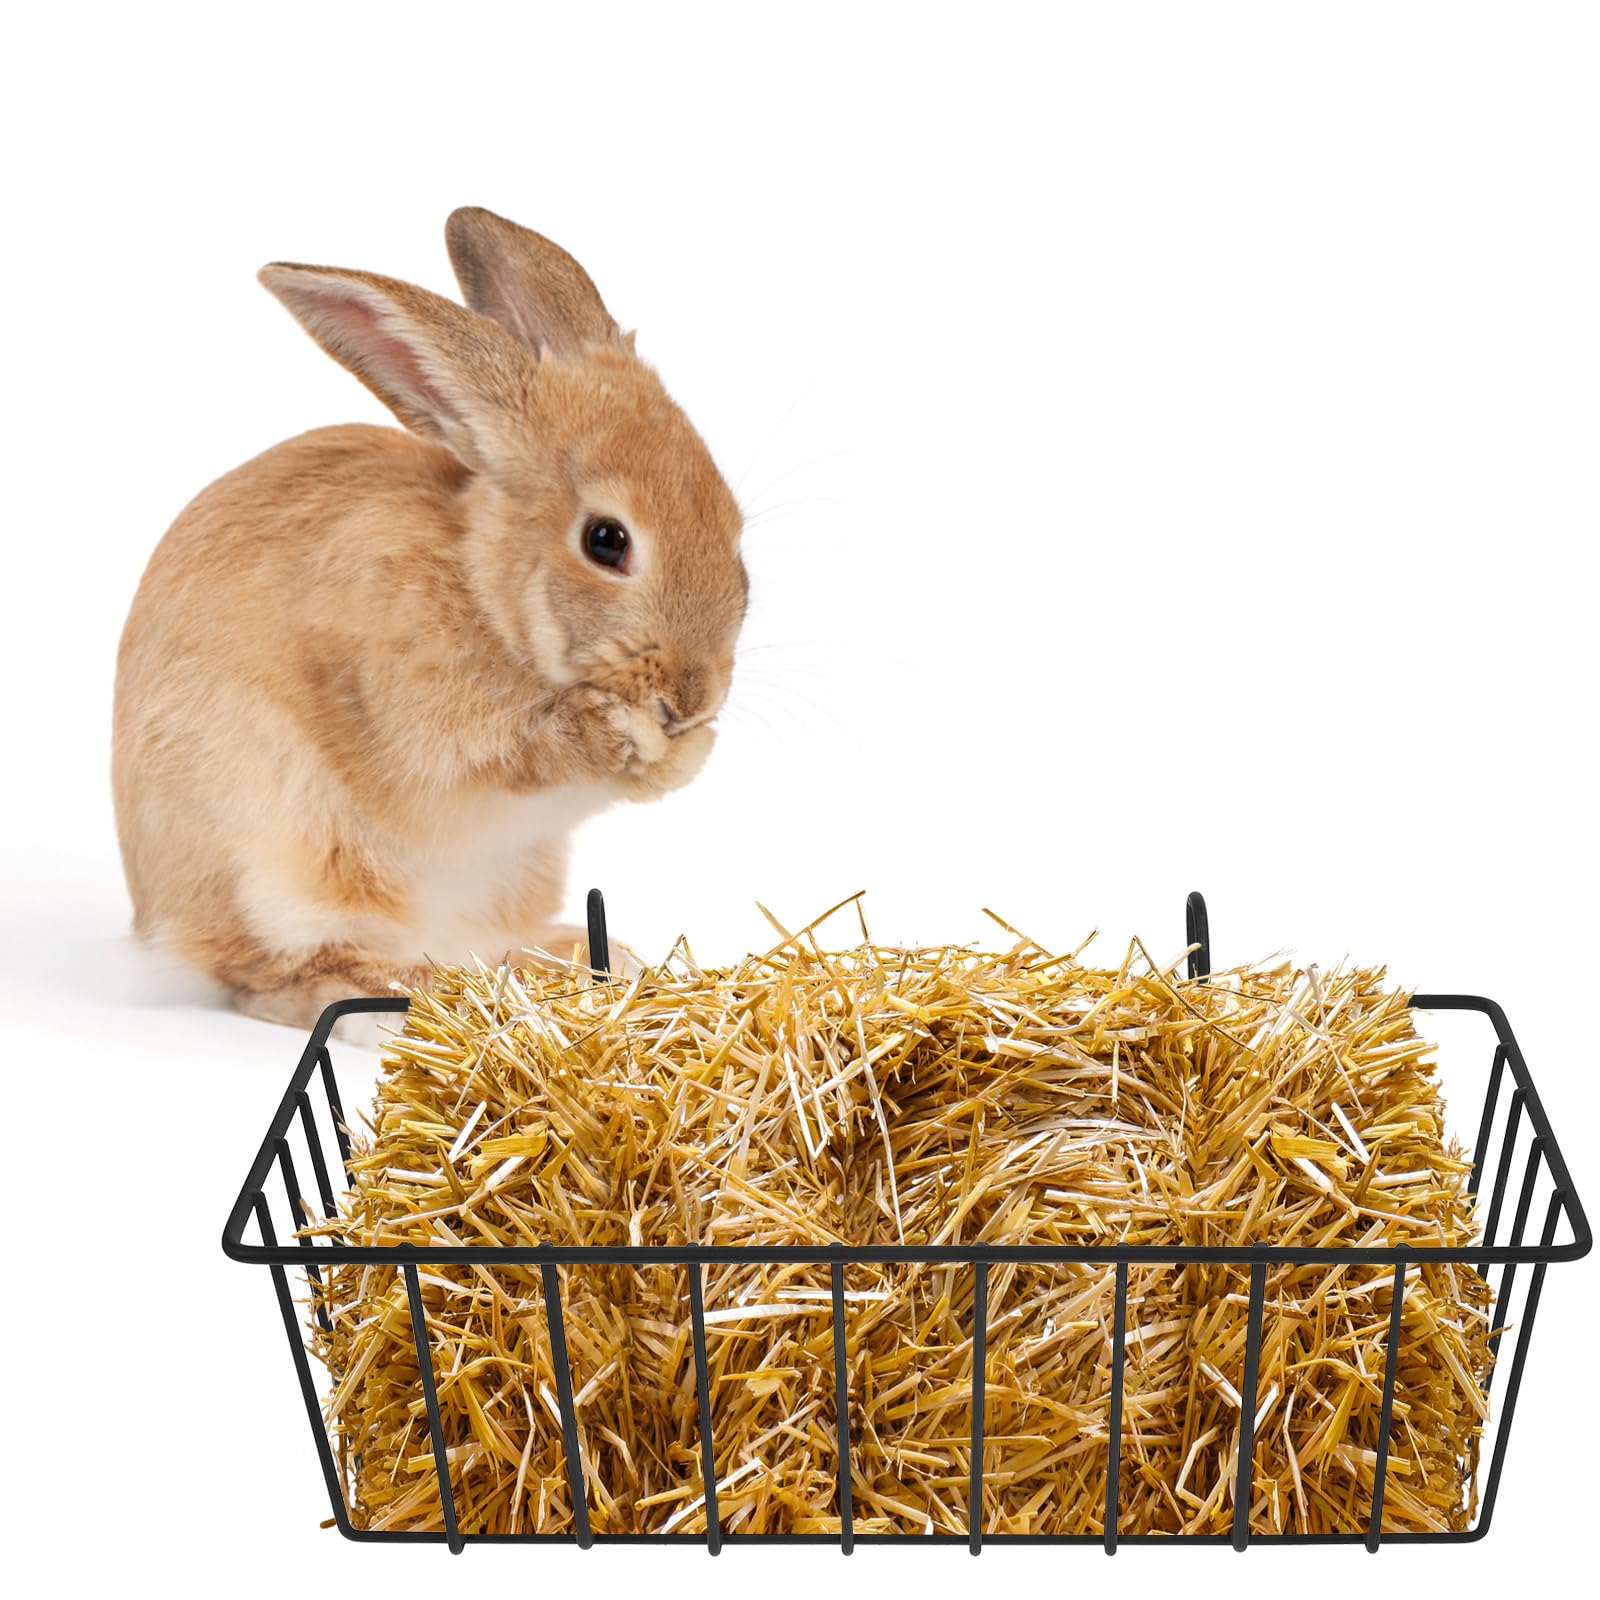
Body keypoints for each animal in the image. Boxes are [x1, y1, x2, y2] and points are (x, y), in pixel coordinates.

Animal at [112, 207, 747, 1034]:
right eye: (606, 541)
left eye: (732, 523)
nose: (693, 697)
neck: (486, 591)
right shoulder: (423, 726)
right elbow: (523, 756)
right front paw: (626, 737)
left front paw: (687, 751)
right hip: (280, 858)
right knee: (270, 977)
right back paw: (399, 1000)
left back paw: (577, 960)